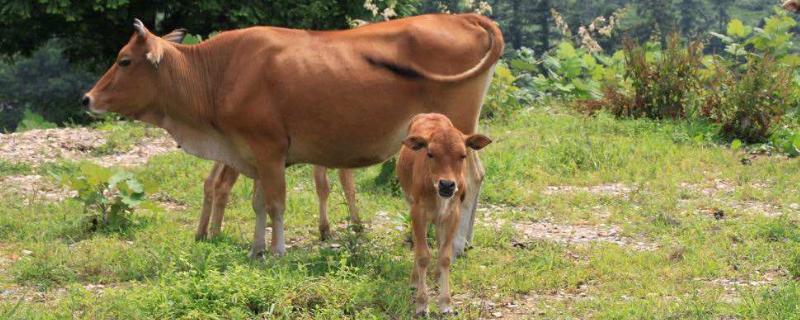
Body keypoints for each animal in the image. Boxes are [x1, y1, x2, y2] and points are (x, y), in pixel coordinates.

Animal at [194, 161, 360, 241]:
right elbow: (328, 186)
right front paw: (326, 230)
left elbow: (345, 185)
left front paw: (355, 224)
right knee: (221, 184)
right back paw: (215, 234)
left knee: (210, 181)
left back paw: (201, 234)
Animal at [396, 112, 490, 316]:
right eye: (430, 153)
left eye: (463, 155)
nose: (447, 185)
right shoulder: (418, 212)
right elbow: (423, 255)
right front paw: (422, 304)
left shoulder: (453, 215)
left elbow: (445, 257)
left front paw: (446, 303)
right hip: (411, 204)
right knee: (417, 244)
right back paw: (414, 280)